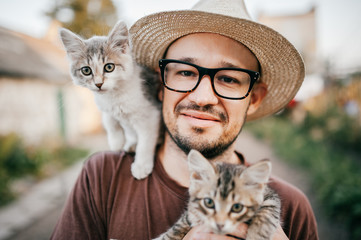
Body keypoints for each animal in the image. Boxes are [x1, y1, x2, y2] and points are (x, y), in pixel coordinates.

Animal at [59, 21, 160, 179]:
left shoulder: (150, 114)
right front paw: (116, 142)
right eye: (86, 70)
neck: (113, 96)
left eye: (109, 67)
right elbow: (109, 120)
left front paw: (141, 165)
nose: (99, 84)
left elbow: (146, 141)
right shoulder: (104, 106)